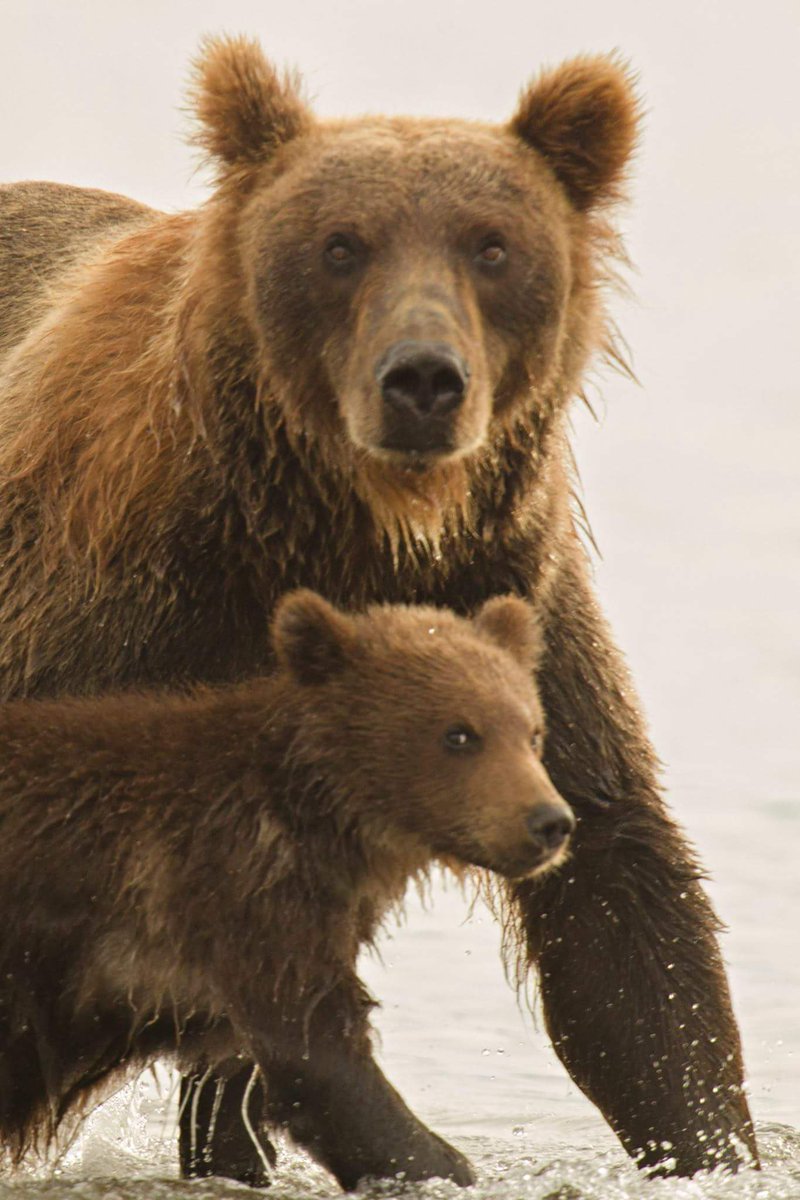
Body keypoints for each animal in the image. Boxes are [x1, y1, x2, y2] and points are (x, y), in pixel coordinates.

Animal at [0, 590, 574, 1190]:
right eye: (459, 733)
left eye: (533, 731)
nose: (549, 822)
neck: (324, 818)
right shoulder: (237, 891)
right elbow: (319, 1059)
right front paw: (445, 1165)